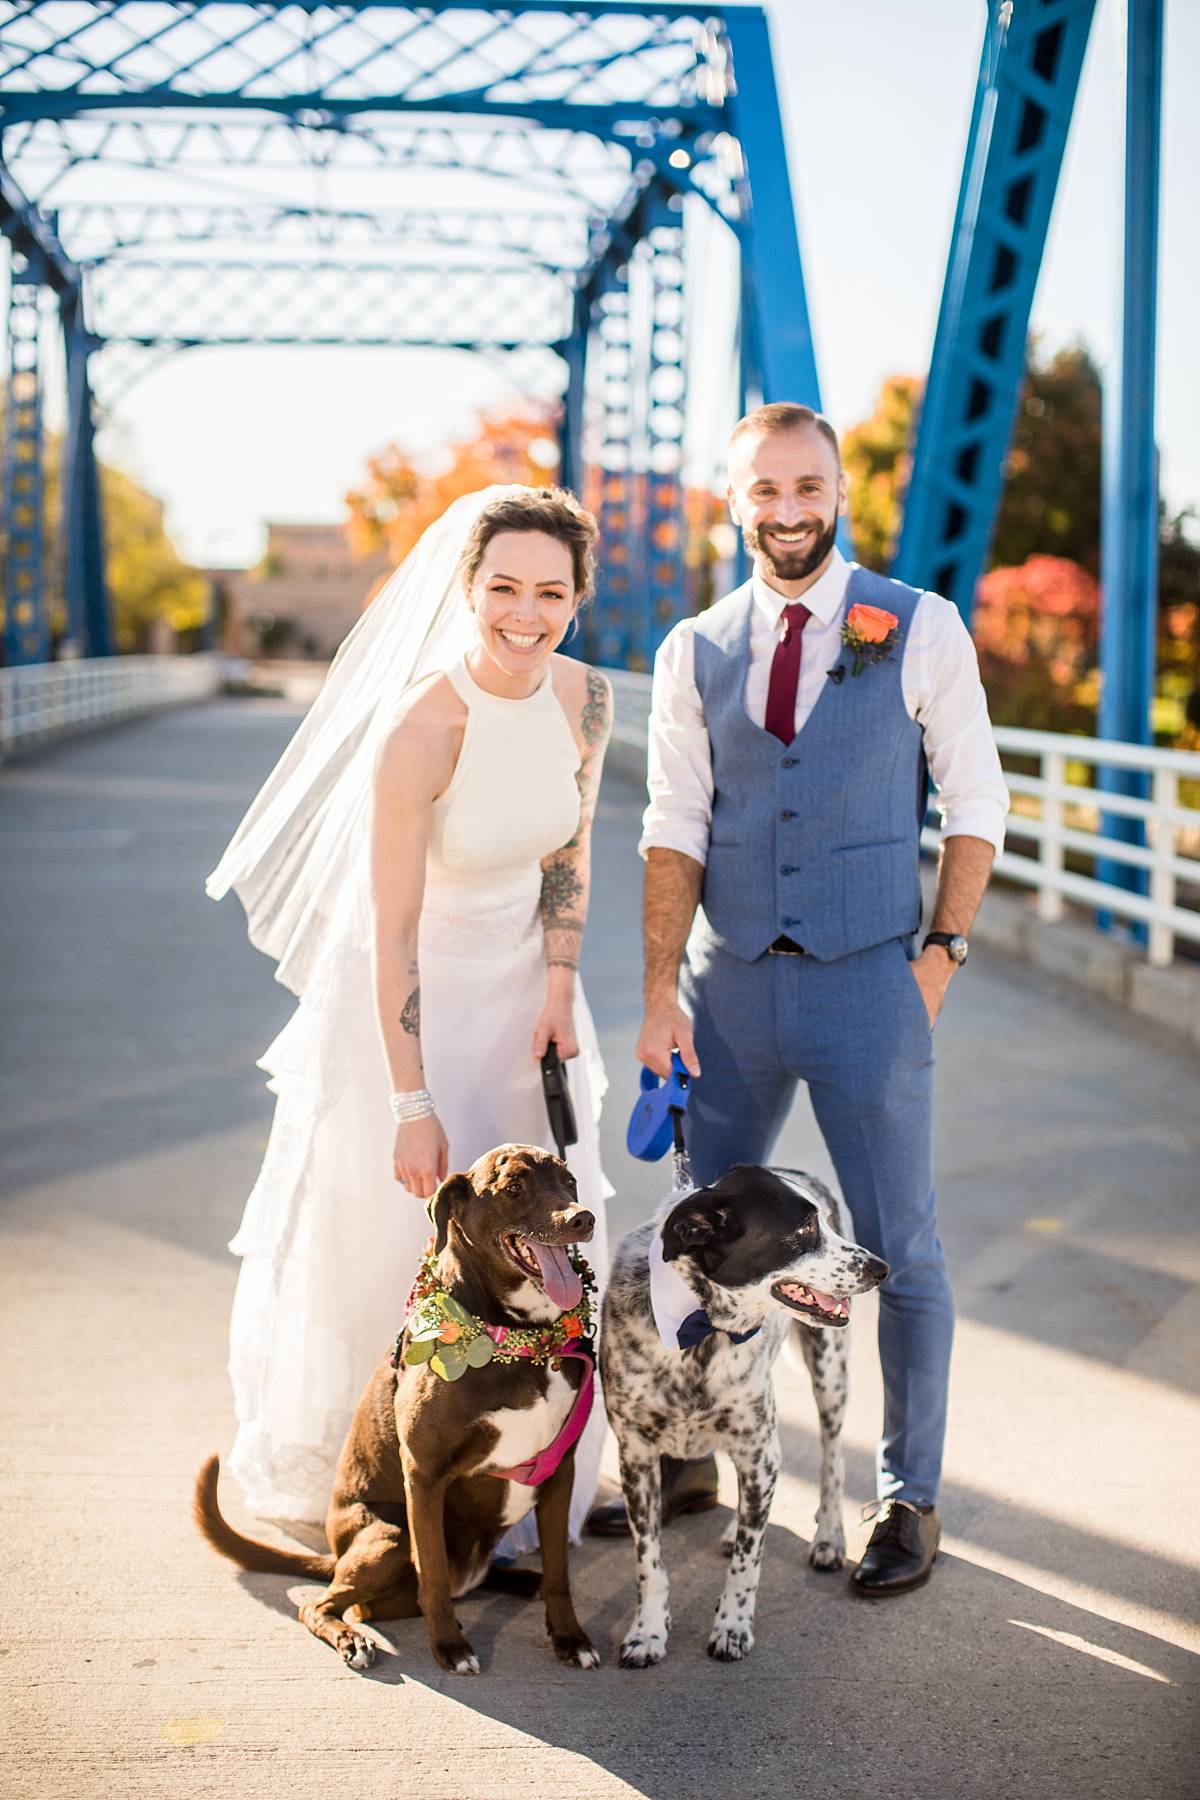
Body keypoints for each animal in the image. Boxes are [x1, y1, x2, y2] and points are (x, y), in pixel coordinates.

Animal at [200, 1144, 604, 1677]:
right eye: (515, 1187)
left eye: (569, 1181)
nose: (581, 1218)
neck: (520, 1341)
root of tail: (335, 1555)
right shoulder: (425, 1474)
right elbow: (430, 1569)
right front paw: (450, 1646)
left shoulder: (560, 1470)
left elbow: (560, 1571)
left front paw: (569, 1638)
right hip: (386, 1538)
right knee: (330, 1605)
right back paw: (352, 1638)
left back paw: (522, 1580)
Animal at [600, 1159, 892, 1663]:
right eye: (805, 1229)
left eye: (824, 1223)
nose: (881, 1268)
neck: (701, 1326)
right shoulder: (635, 1458)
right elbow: (649, 1562)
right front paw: (648, 1631)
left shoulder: (761, 1454)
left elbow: (748, 1563)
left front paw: (732, 1627)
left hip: (830, 1374)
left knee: (832, 1460)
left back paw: (828, 1537)